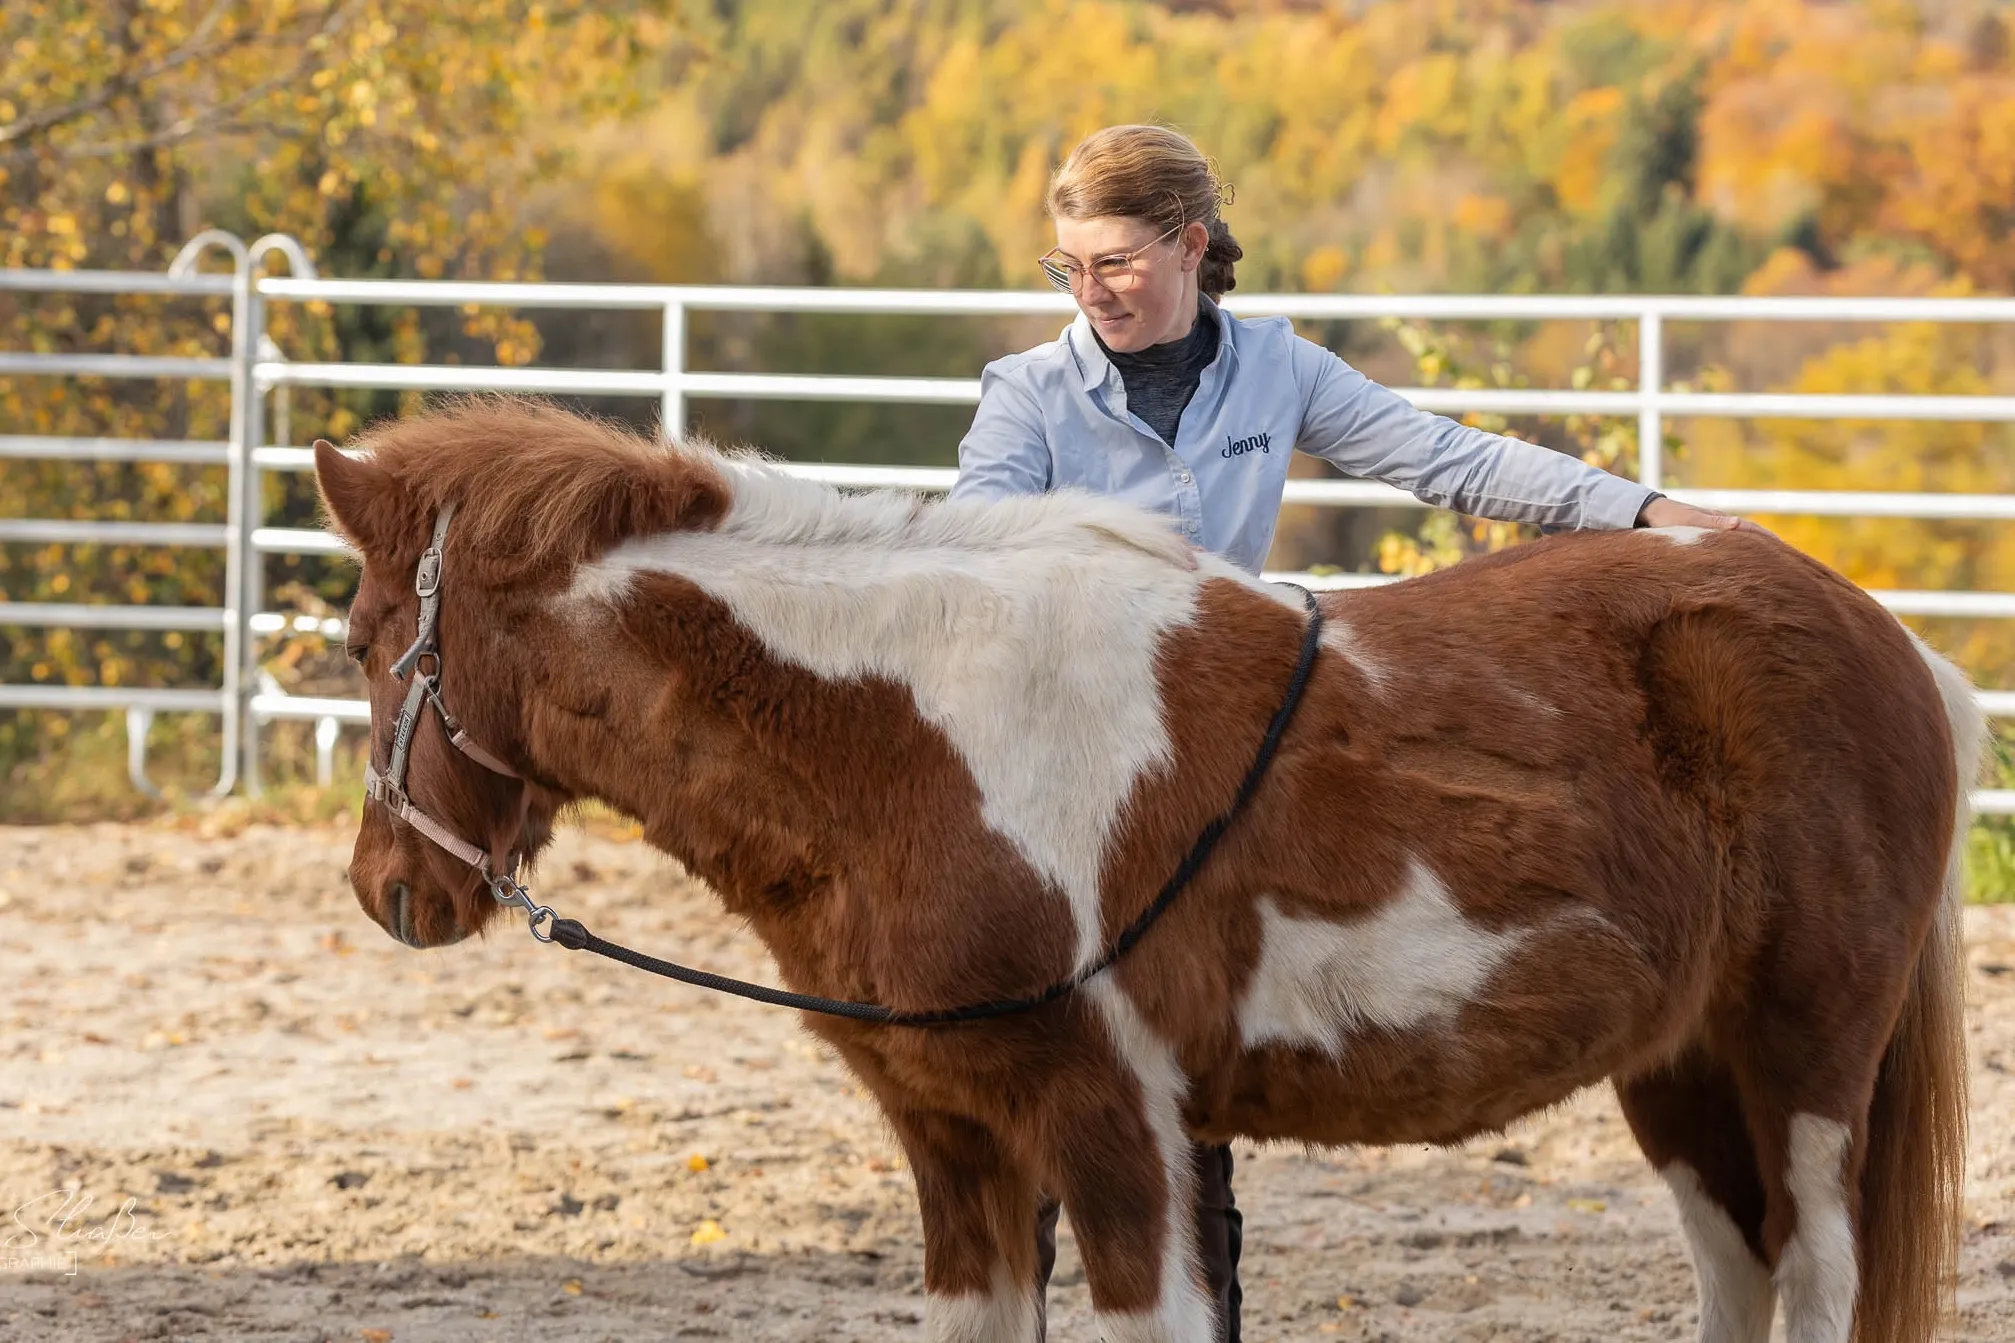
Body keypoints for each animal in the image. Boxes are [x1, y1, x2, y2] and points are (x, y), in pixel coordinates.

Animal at [314, 399, 1977, 1343]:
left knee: (1814, 1274)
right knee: (1738, 1271)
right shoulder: (955, 1144)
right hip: (1677, 1072)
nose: (392, 888)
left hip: (1804, 1063)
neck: (911, 734)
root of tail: (1889, 644)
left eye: (357, 637)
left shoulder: (1110, 1126)